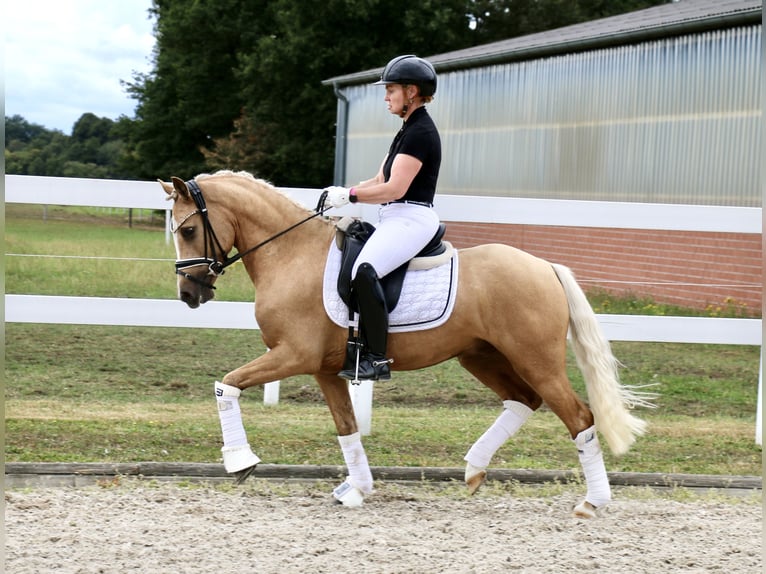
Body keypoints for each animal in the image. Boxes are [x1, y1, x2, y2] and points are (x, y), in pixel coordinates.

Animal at [159, 170, 654, 517]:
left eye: (188, 231)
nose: (189, 295)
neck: (292, 254)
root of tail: (545, 266)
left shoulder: (293, 356)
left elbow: (226, 385)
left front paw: (240, 462)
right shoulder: (323, 368)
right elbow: (346, 427)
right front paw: (356, 489)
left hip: (536, 360)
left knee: (578, 416)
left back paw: (592, 502)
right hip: (482, 356)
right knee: (523, 401)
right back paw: (474, 469)